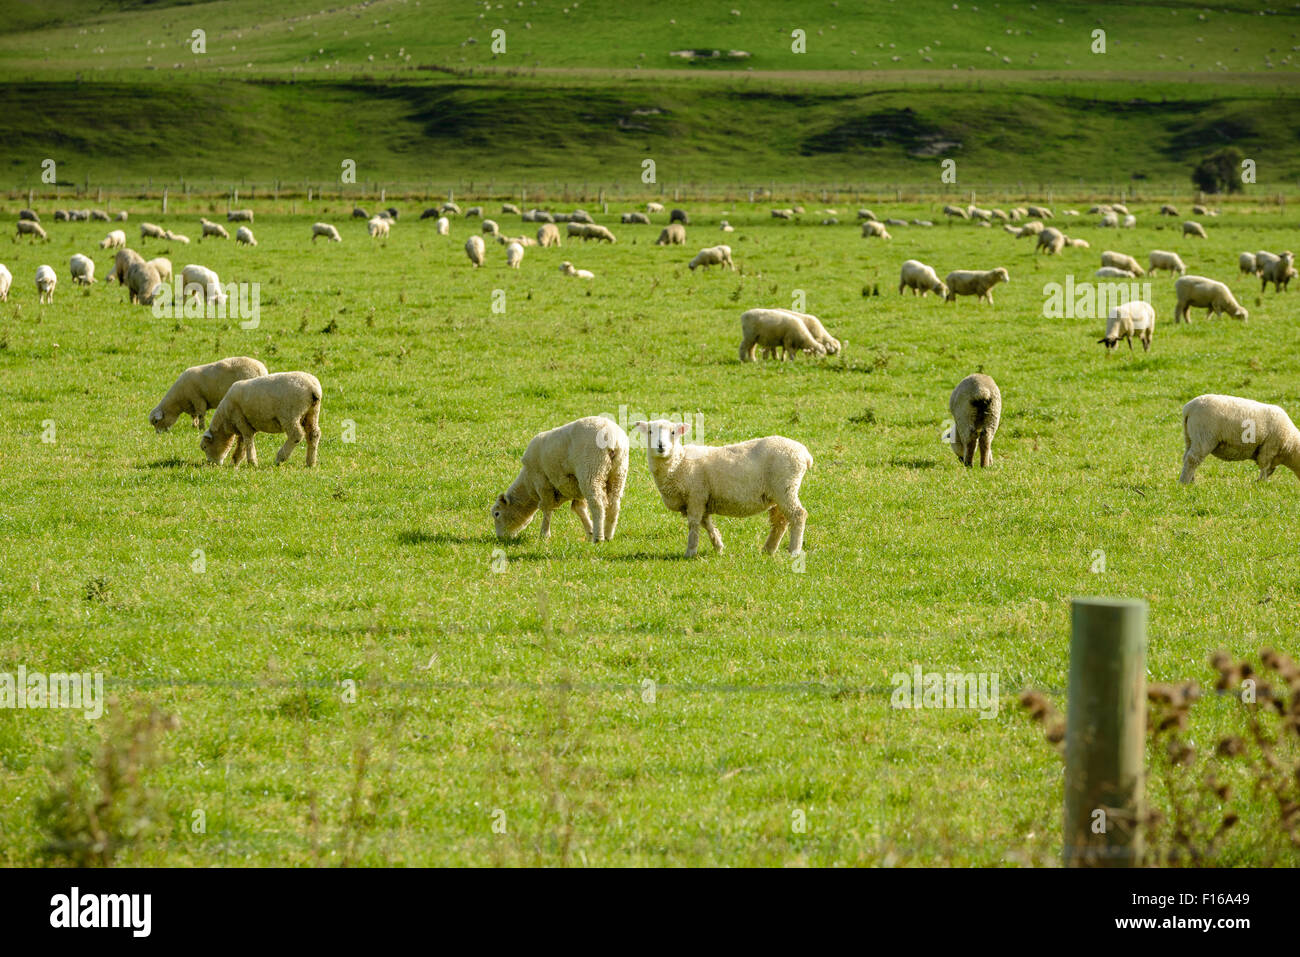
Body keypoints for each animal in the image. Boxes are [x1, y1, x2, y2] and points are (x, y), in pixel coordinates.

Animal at [492, 417, 629, 543]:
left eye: (497, 514)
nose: (500, 538)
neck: (528, 483)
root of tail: (613, 438)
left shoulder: (542, 482)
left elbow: (547, 508)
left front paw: (544, 534)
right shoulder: (576, 487)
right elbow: (579, 508)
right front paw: (589, 530)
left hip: (591, 470)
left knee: (598, 504)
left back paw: (598, 537)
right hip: (618, 473)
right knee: (614, 504)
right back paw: (608, 536)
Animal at [633, 420, 812, 558]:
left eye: (673, 432)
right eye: (650, 431)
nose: (660, 446)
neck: (678, 463)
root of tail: (804, 454)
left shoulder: (696, 495)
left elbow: (694, 524)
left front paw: (690, 551)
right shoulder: (702, 499)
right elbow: (707, 524)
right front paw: (718, 546)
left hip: (785, 486)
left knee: (798, 514)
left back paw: (794, 551)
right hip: (777, 493)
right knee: (780, 522)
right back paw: (768, 550)